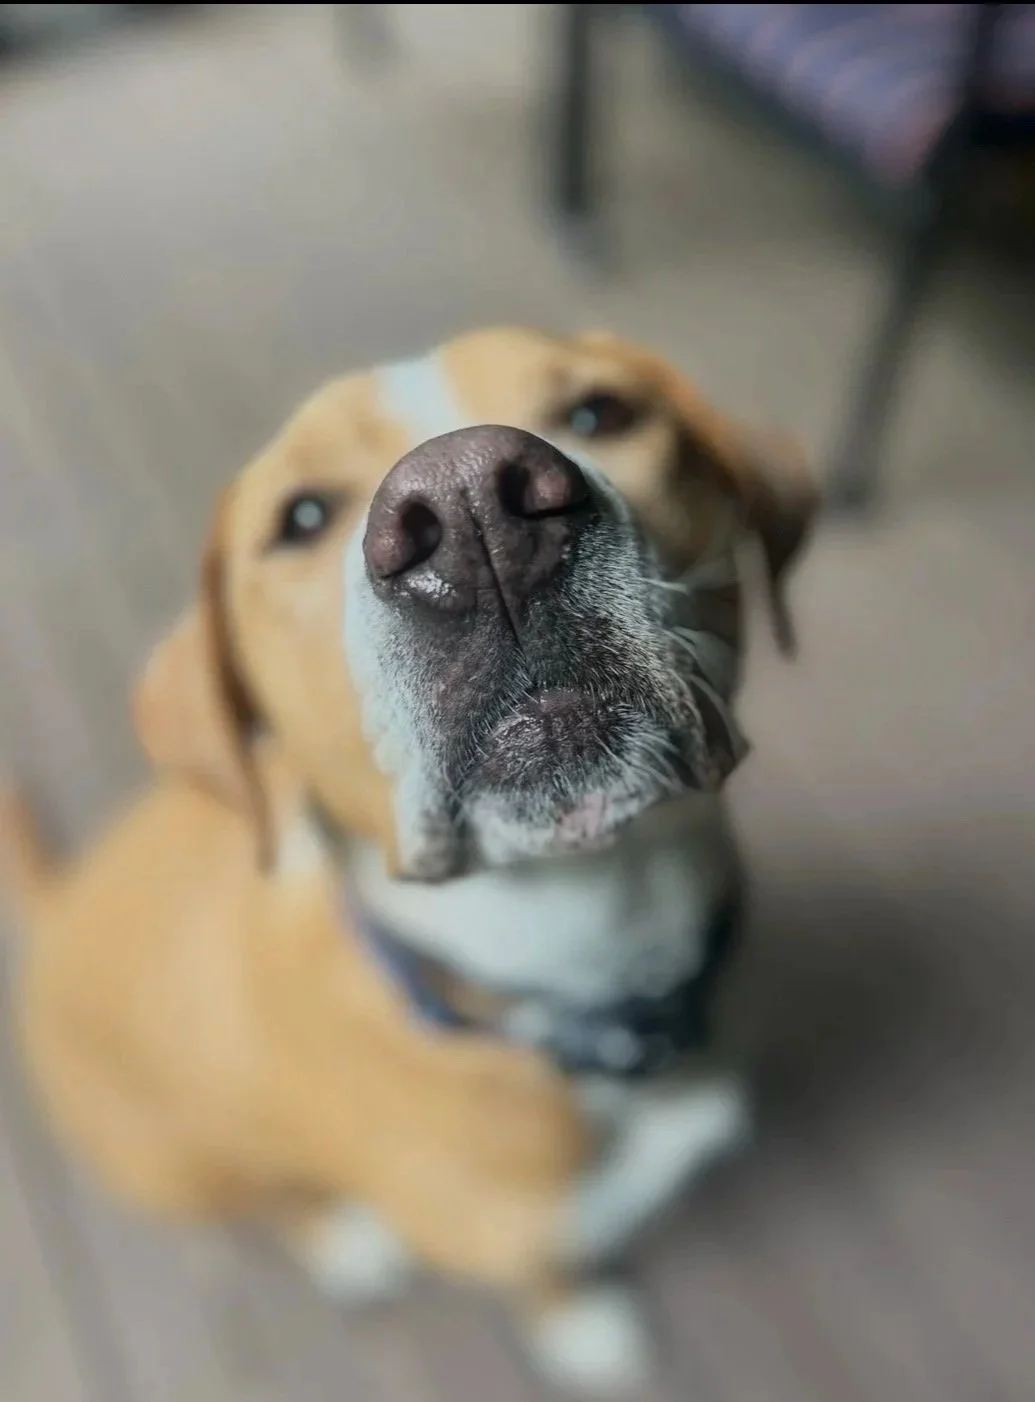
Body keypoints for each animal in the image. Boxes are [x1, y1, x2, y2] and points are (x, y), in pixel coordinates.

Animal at [1, 326, 816, 1395]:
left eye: (600, 412)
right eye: (301, 516)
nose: (473, 508)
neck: (585, 962)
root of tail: (56, 912)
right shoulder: (513, 1243)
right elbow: (551, 1283)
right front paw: (588, 1335)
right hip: (175, 1161)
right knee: (271, 1197)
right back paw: (347, 1241)